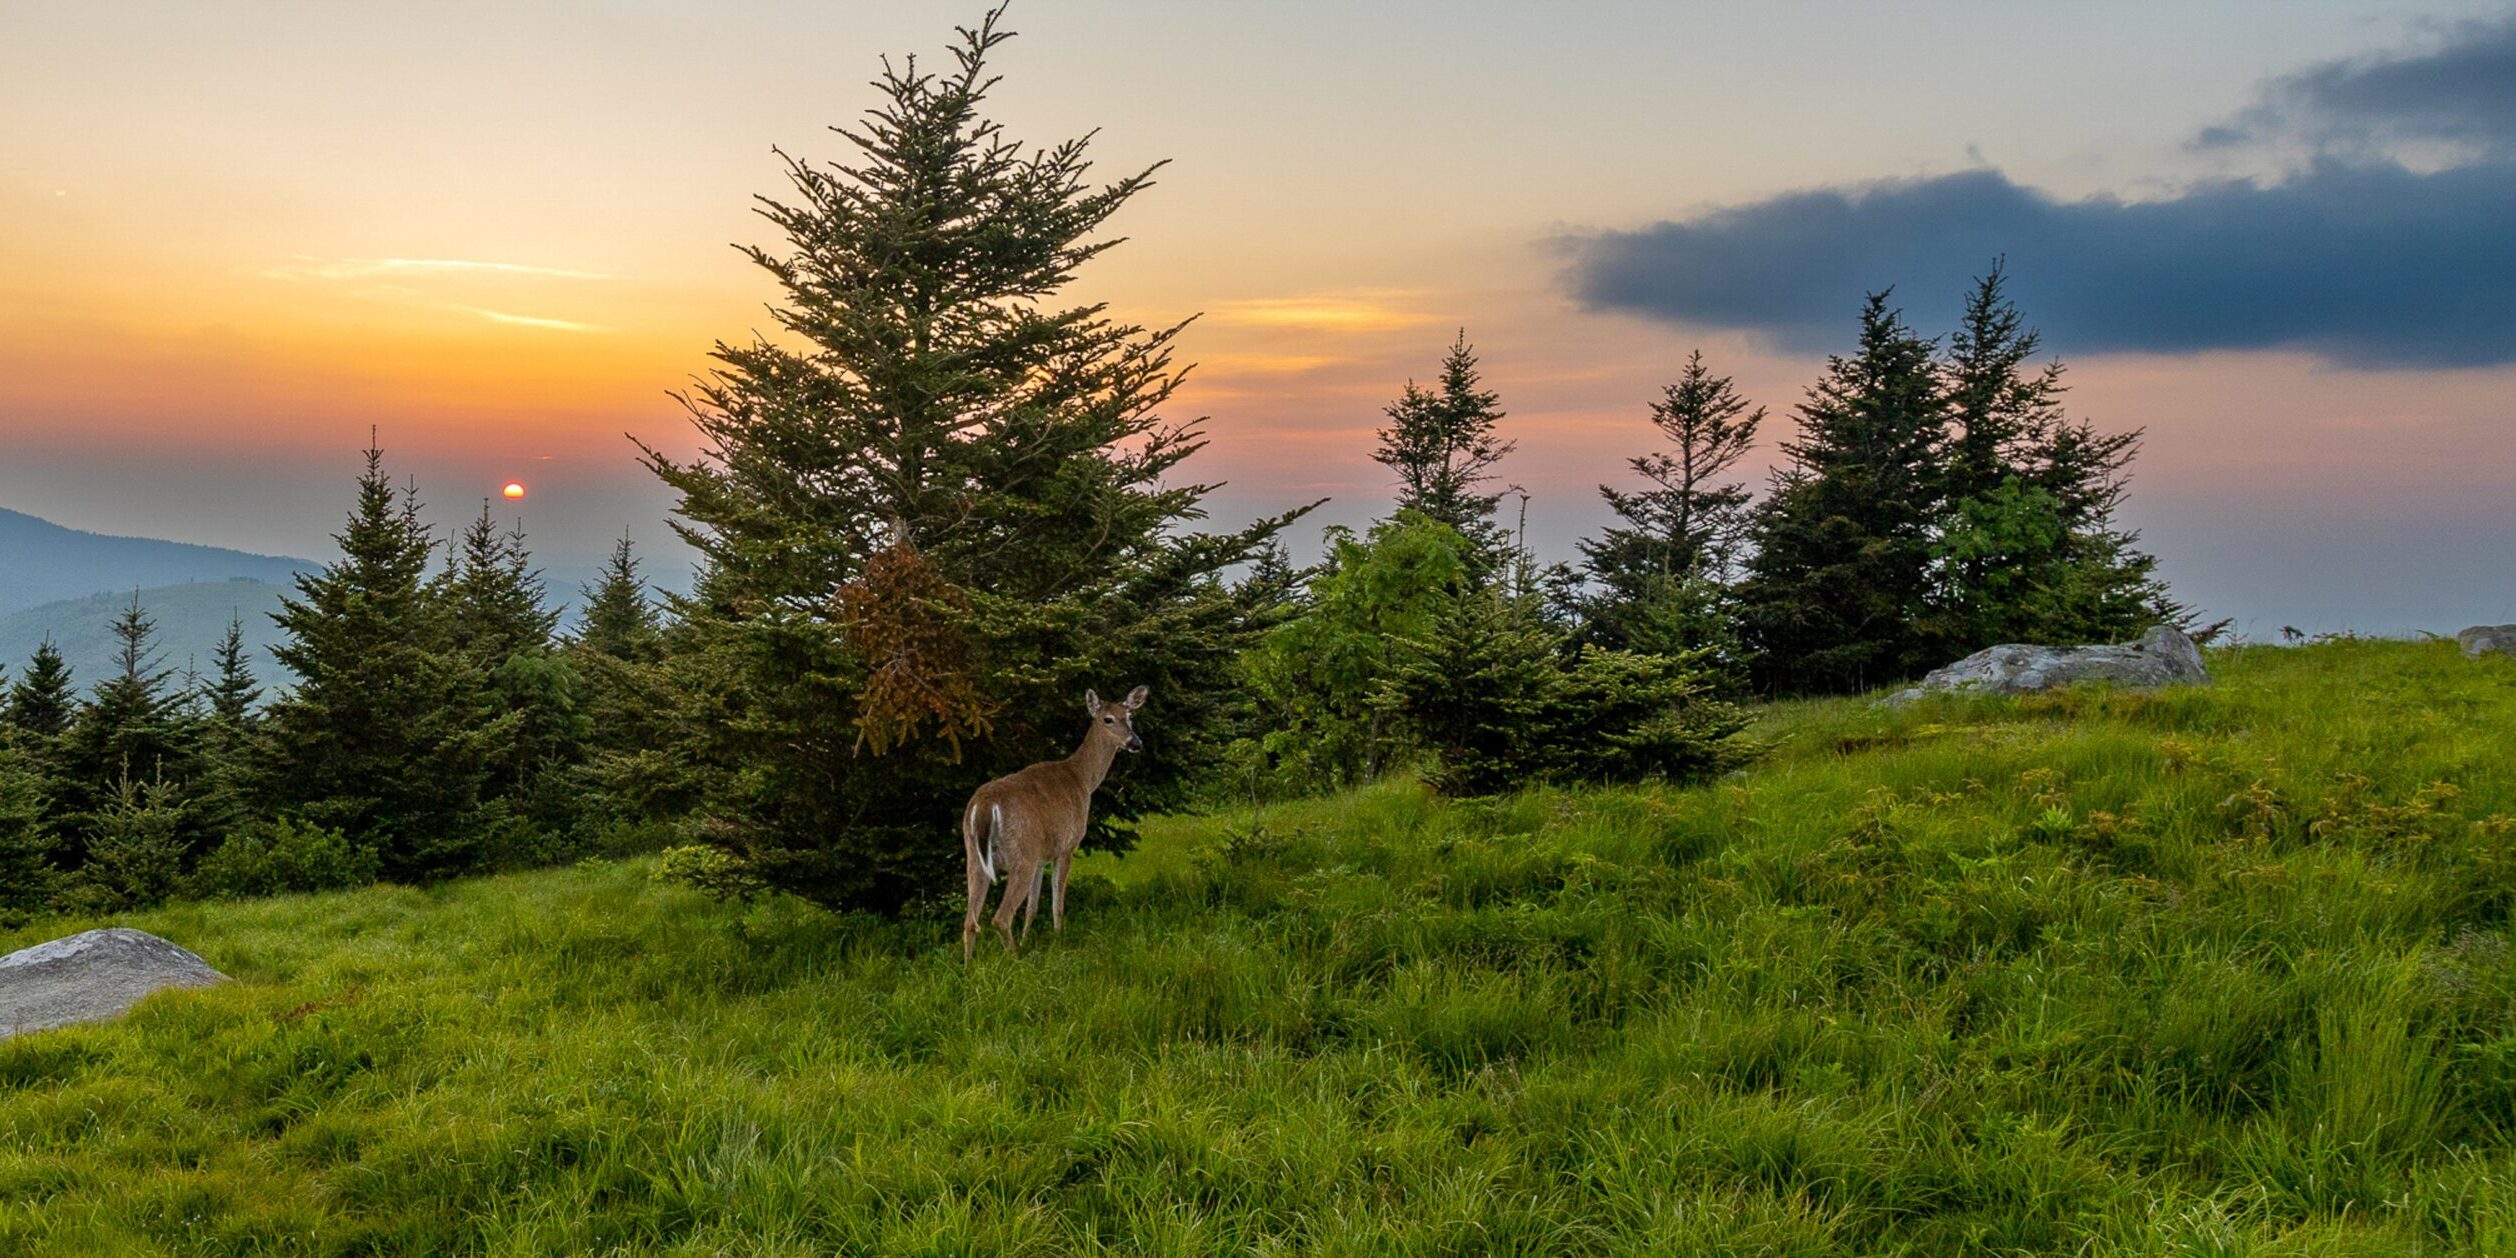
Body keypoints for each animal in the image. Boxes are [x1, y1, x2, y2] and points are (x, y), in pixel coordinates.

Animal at [961, 684, 1146, 961]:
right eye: (1108, 719)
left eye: (1130, 717)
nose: (1135, 743)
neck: (1083, 779)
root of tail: (984, 806)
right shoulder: (1066, 846)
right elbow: (1057, 904)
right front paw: (1059, 941)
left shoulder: (1042, 856)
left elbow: (1032, 907)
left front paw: (1028, 940)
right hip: (1021, 853)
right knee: (1001, 918)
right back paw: (1015, 960)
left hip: (975, 855)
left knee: (970, 921)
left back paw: (969, 965)